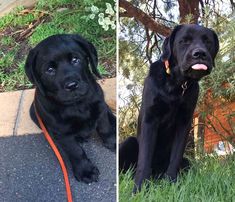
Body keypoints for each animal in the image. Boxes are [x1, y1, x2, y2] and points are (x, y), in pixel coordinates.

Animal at [24, 34, 115, 183]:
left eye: (75, 60)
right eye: (50, 70)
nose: (72, 85)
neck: (77, 105)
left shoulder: (100, 109)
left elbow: (105, 128)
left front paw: (113, 142)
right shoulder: (62, 133)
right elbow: (75, 151)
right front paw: (85, 170)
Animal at [120, 24, 219, 192]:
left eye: (208, 42)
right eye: (184, 41)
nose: (199, 54)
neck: (176, 83)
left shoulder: (184, 123)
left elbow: (175, 157)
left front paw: (172, 183)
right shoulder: (150, 119)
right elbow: (144, 158)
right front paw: (139, 188)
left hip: (187, 162)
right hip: (129, 142)